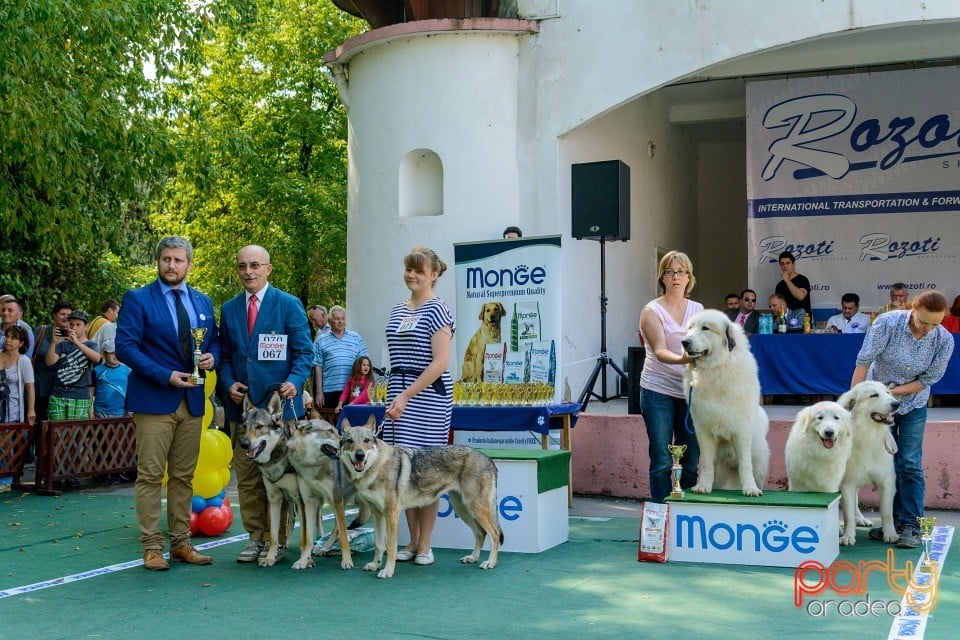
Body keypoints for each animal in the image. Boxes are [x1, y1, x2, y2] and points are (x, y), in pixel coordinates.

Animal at [684, 308, 772, 496]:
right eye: (690, 328)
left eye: (705, 328)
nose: (684, 342)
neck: (717, 368)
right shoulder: (703, 430)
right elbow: (707, 462)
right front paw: (703, 486)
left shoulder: (741, 430)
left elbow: (745, 463)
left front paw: (750, 489)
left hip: (759, 460)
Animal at [840, 380, 900, 544]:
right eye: (873, 395)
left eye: (887, 392)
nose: (896, 404)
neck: (868, 435)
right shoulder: (847, 482)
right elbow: (847, 514)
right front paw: (848, 536)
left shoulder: (886, 481)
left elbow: (887, 513)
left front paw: (890, 534)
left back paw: (861, 519)